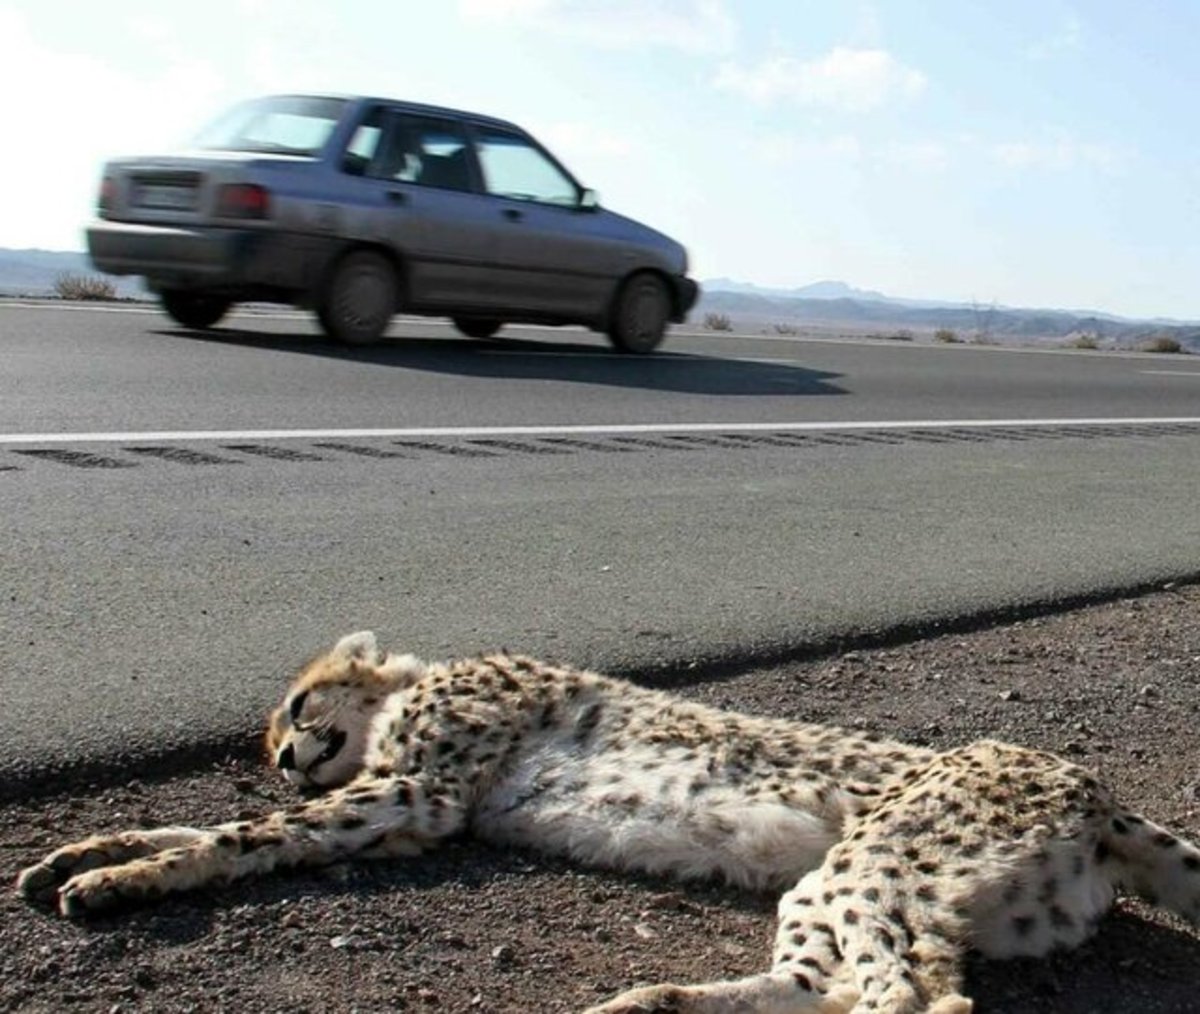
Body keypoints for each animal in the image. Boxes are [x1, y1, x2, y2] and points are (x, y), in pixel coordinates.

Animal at [16, 628, 1200, 1008]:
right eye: (276, 738)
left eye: (299, 710)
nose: (286, 760)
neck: (413, 688)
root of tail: (1095, 789)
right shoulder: (400, 816)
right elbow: (217, 838)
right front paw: (85, 854)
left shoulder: (419, 795)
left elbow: (233, 840)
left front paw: (112, 880)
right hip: (853, 886)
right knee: (827, 986)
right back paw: (646, 1003)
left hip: (877, 864)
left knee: (911, 999)